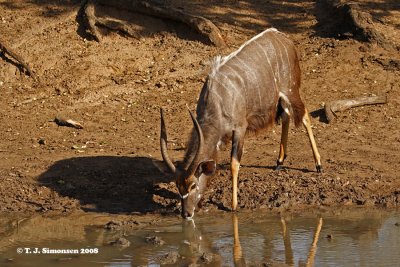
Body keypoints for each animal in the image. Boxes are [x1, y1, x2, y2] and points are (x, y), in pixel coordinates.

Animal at [159, 27, 322, 220]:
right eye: (178, 186)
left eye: (193, 185)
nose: (186, 214)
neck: (218, 100)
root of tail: (283, 38)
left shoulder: (240, 129)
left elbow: (234, 163)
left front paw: (233, 204)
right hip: (280, 99)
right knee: (287, 116)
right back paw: (279, 161)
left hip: (291, 90)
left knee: (304, 116)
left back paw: (318, 165)